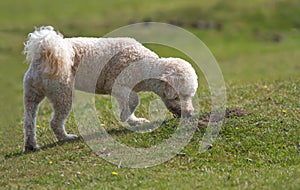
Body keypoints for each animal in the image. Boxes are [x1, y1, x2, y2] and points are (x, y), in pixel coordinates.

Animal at [22, 26, 197, 151]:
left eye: (189, 96)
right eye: (177, 96)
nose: (189, 113)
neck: (144, 65)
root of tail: (44, 51)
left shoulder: (122, 91)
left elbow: (129, 103)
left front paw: (134, 120)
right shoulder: (117, 85)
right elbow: (134, 100)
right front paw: (126, 118)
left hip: (32, 94)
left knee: (29, 122)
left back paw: (31, 145)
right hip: (62, 93)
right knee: (55, 122)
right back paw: (65, 137)